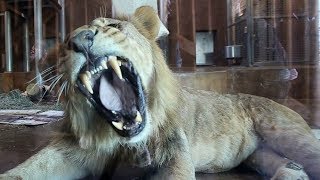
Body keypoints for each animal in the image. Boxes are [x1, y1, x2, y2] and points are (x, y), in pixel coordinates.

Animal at [0, 5, 320, 180]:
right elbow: (28, 168)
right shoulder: (70, 150)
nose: (79, 40)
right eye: (65, 44)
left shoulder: (174, 154)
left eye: (113, 26)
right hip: (258, 153)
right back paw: (292, 172)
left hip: (289, 134)